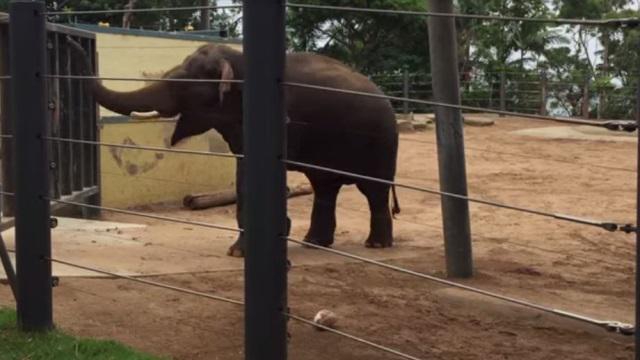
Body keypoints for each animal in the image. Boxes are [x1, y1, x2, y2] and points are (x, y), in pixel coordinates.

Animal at [70, 39, 400, 258]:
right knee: (325, 187)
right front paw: (239, 252)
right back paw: (314, 243)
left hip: (382, 140)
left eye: (182, 83)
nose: (75, 44)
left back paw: (376, 245)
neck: (239, 60)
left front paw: (246, 250)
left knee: (373, 190)